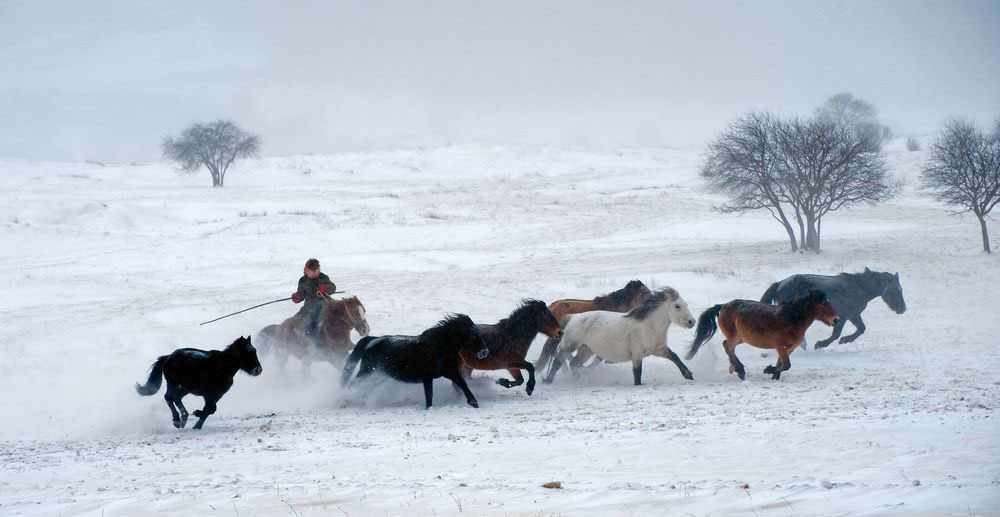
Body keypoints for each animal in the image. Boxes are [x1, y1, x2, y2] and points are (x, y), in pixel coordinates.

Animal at [340, 312, 488, 410]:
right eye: (472, 335)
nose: (484, 351)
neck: (438, 347)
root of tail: (372, 340)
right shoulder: (427, 377)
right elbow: (429, 395)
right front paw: (429, 408)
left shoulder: (449, 372)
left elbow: (462, 383)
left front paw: (473, 402)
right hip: (367, 371)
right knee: (354, 384)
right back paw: (346, 400)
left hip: (379, 375)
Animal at [548, 286, 696, 382]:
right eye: (677, 306)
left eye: (686, 304)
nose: (692, 322)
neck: (648, 326)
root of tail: (572, 318)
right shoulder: (637, 353)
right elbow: (637, 372)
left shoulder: (659, 349)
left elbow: (675, 357)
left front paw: (689, 375)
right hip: (569, 346)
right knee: (558, 362)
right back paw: (548, 381)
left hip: (586, 350)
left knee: (574, 364)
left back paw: (578, 379)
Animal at [684, 290, 840, 378]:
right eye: (822, 303)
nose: (836, 320)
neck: (791, 318)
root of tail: (722, 306)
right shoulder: (781, 347)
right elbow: (786, 365)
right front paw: (768, 370)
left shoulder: (788, 349)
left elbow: (782, 366)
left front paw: (774, 374)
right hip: (734, 337)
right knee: (727, 346)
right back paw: (739, 370)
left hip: (741, 338)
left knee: (728, 347)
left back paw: (734, 368)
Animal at [756, 268, 908, 348]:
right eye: (896, 290)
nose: (902, 309)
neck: (858, 288)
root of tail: (780, 284)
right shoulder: (846, 315)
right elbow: (837, 334)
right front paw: (821, 344)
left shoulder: (852, 315)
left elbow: (861, 329)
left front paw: (845, 340)